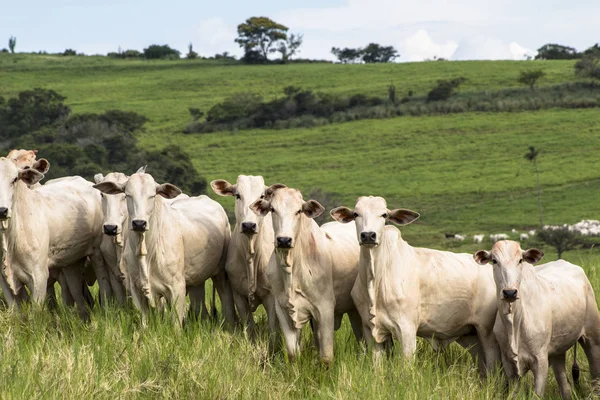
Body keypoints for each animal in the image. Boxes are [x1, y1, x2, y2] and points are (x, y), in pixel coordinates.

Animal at [0, 158, 103, 318]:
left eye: (15, 179)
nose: (2, 210)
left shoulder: (39, 277)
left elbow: (35, 315)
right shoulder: (5, 282)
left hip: (98, 256)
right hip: (72, 263)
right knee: (80, 299)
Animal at [93, 171, 234, 324]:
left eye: (152, 195)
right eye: (128, 195)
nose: (139, 223)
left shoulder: (177, 288)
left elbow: (175, 324)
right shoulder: (136, 289)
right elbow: (144, 323)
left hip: (221, 274)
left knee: (226, 299)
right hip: (197, 280)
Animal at [250, 186, 360, 364]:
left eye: (299, 210)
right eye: (273, 209)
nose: (284, 240)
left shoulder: (325, 308)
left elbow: (326, 356)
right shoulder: (283, 310)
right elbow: (293, 353)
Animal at [330, 195, 500, 374]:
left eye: (384, 215)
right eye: (356, 214)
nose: (368, 235)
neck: (375, 279)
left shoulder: (407, 330)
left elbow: (405, 368)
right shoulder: (370, 330)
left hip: (487, 332)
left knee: (493, 362)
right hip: (470, 335)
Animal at [474, 241, 600, 400]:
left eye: (520, 260)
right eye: (495, 261)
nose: (510, 292)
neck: (515, 323)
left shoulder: (540, 362)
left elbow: (538, 394)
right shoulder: (509, 363)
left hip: (593, 339)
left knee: (595, 376)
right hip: (558, 351)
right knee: (564, 385)